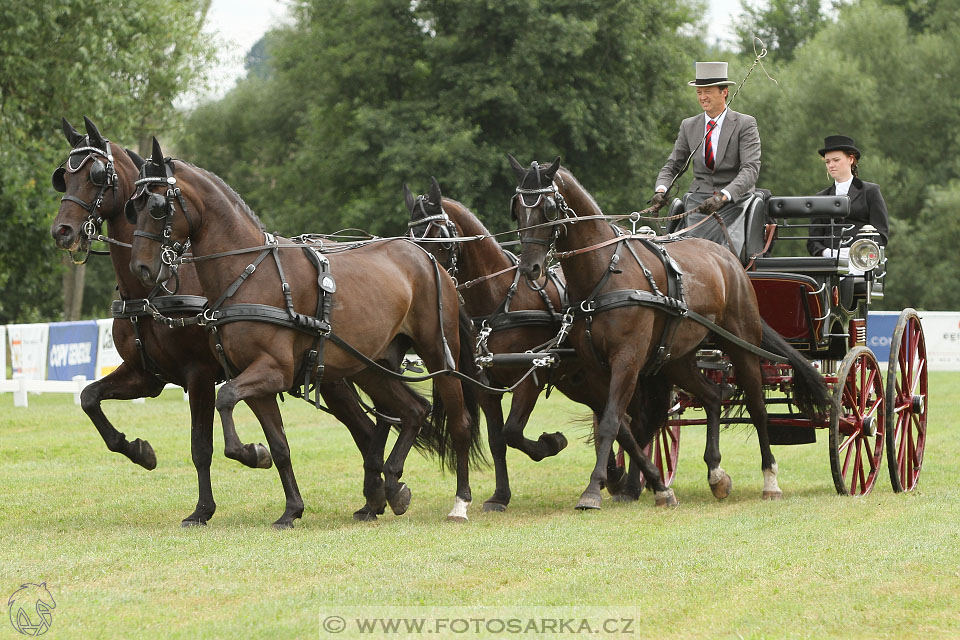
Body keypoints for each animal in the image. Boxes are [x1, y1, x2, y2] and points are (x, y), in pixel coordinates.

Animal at [49, 119, 428, 524]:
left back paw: (378, 495)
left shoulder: (198, 374)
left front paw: (205, 507)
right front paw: (138, 450)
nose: (62, 231)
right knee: (369, 428)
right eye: (63, 177)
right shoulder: (146, 375)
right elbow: (89, 398)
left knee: (368, 428)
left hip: (336, 375)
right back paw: (376, 499)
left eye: (95, 174)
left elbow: (201, 446)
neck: (153, 290)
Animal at [128, 138, 484, 528]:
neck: (247, 273)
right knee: (415, 411)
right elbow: (280, 445)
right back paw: (391, 487)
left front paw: (251, 453)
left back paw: (459, 502)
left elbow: (226, 400)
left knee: (459, 422)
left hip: (438, 354)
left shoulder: (274, 371)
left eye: (158, 206)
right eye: (134, 206)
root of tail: (426, 257)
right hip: (371, 366)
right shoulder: (255, 381)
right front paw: (291, 508)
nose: (141, 267)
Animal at [408, 178, 672, 508]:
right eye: (412, 237)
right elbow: (498, 439)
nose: (425, 277)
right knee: (620, 422)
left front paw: (551, 443)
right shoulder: (486, 387)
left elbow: (512, 431)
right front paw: (500, 496)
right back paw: (618, 478)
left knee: (636, 421)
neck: (501, 298)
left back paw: (636, 484)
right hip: (580, 380)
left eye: (440, 237)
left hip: (625, 369)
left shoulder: (530, 376)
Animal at [510, 156, 832, 510]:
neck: (604, 271)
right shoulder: (595, 367)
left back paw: (770, 479)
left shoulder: (627, 360)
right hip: (678, 359)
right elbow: (620, 425)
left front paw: (594, 490)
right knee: (711, 396)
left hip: (743, 345)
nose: (530, 269)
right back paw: (716, 474)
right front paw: (638, 483)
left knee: (758, 407)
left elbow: (611, 423)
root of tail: (729, 260)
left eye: (549, 208)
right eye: (517, 209)